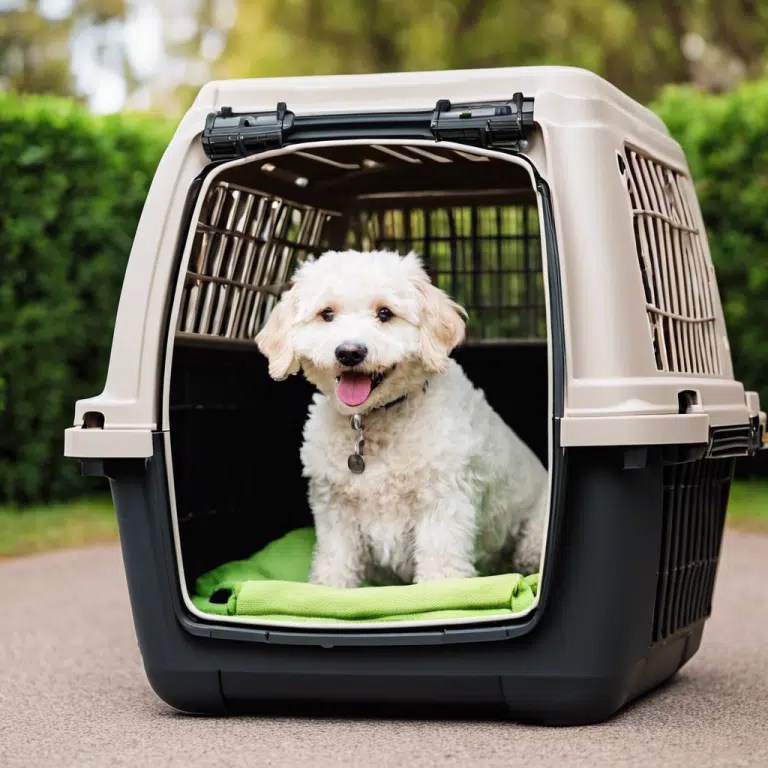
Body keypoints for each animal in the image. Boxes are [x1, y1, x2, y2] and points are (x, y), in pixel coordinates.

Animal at [256, 249, 544, 584]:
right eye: (326, 313)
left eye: (385, 313)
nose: (350, 352)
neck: (374, 421)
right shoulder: (336, 511)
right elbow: (334, 565)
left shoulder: (443, 506)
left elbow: (441, 570)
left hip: (531, 541)